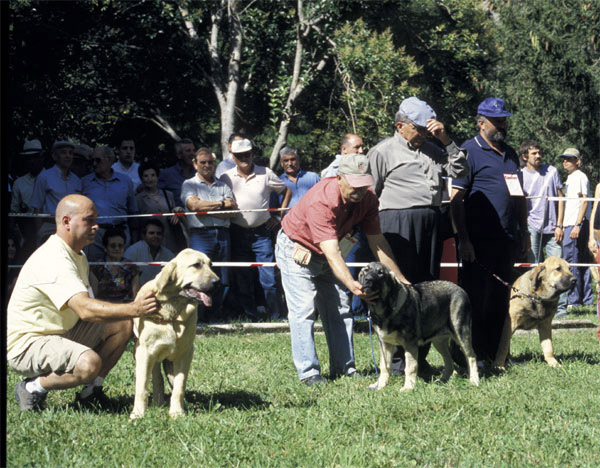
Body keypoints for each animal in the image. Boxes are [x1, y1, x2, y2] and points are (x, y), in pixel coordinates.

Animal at [358, 264, 480, 392]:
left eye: (380, 273)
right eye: (365, 270)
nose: (368, 279)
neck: (384, 310)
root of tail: (461, 289)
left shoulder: (410, 344)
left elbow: (410, 367)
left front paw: (408, 387)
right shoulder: (384, 344)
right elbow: (384, 367)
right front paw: (380, 385)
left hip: (460, 332)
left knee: (471, 356)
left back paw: (474, 381)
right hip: (439, 342)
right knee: (449, 361)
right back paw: (443, 380)